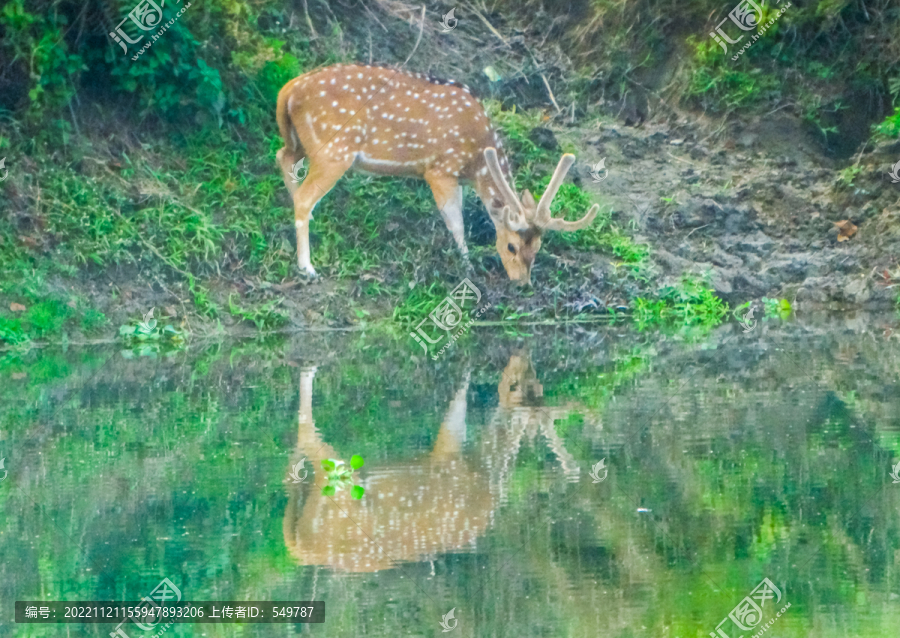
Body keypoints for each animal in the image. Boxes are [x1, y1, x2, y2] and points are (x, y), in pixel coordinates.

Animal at [274, 64, 596, 282]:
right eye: (511, 246)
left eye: (538, 247)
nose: (522, 282)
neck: (476, 160)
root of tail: (289, 88)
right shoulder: (440, 169)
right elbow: (455, 221)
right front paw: (467, 265)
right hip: (334, 150)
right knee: (304, 195)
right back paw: (307, 267)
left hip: (303, 142)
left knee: (283, 157)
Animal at [280, 356, 592, 576]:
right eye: (524, 383)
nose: (521, 356)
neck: (484, 468)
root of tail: (299, 546)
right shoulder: (447, 451)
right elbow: (458, 404)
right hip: (334, 480)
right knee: (306, 429)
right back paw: (310, 369)